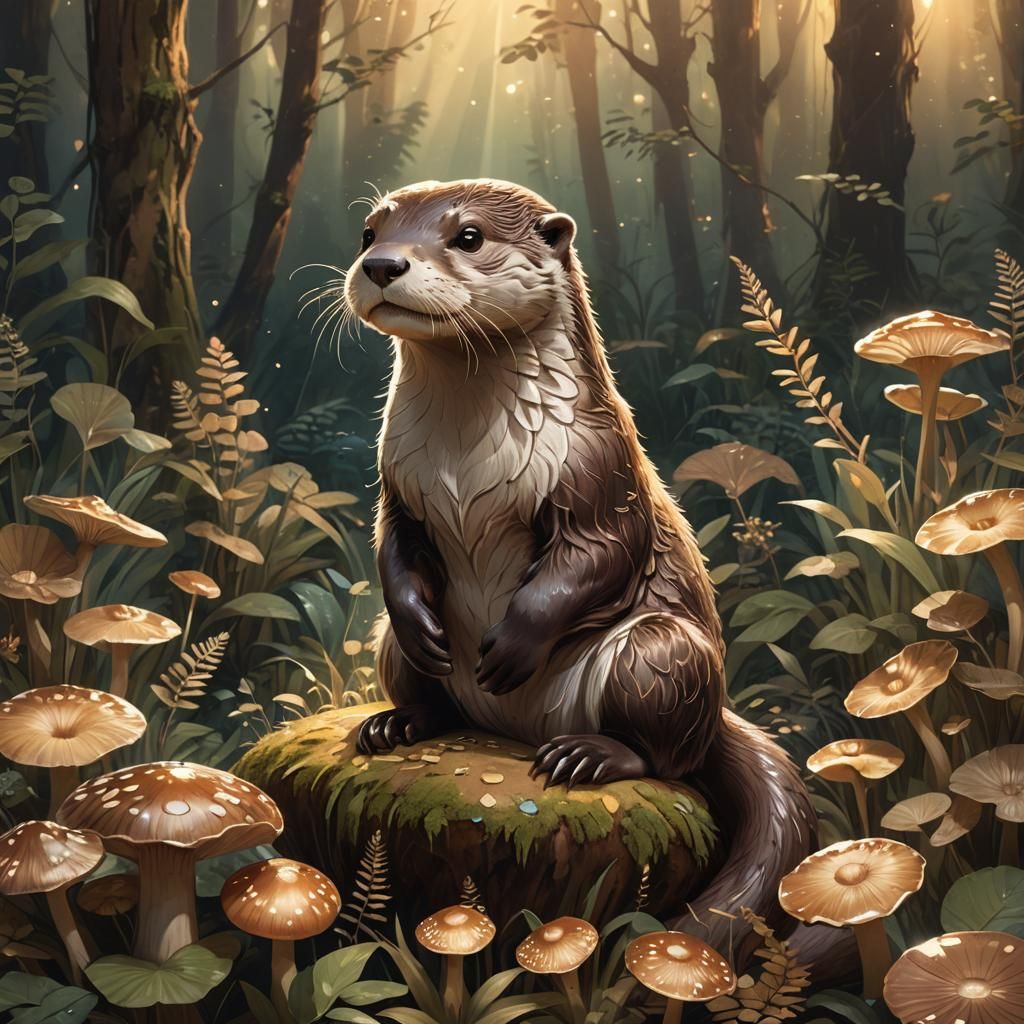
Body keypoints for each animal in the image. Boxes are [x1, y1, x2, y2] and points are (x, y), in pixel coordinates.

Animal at [343, 178, 818, 958]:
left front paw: (511, 646)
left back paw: (589, 758)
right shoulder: (396, 485)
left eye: (467, 236)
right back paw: (401, 721)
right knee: (424, 683)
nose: (382, 264)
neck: (466, 464)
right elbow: (394, 551)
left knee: (671, 760)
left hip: (664, 656)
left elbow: (597, 556)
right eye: (368, 232)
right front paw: (425, 629)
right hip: (393, 648)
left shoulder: (599, 469)